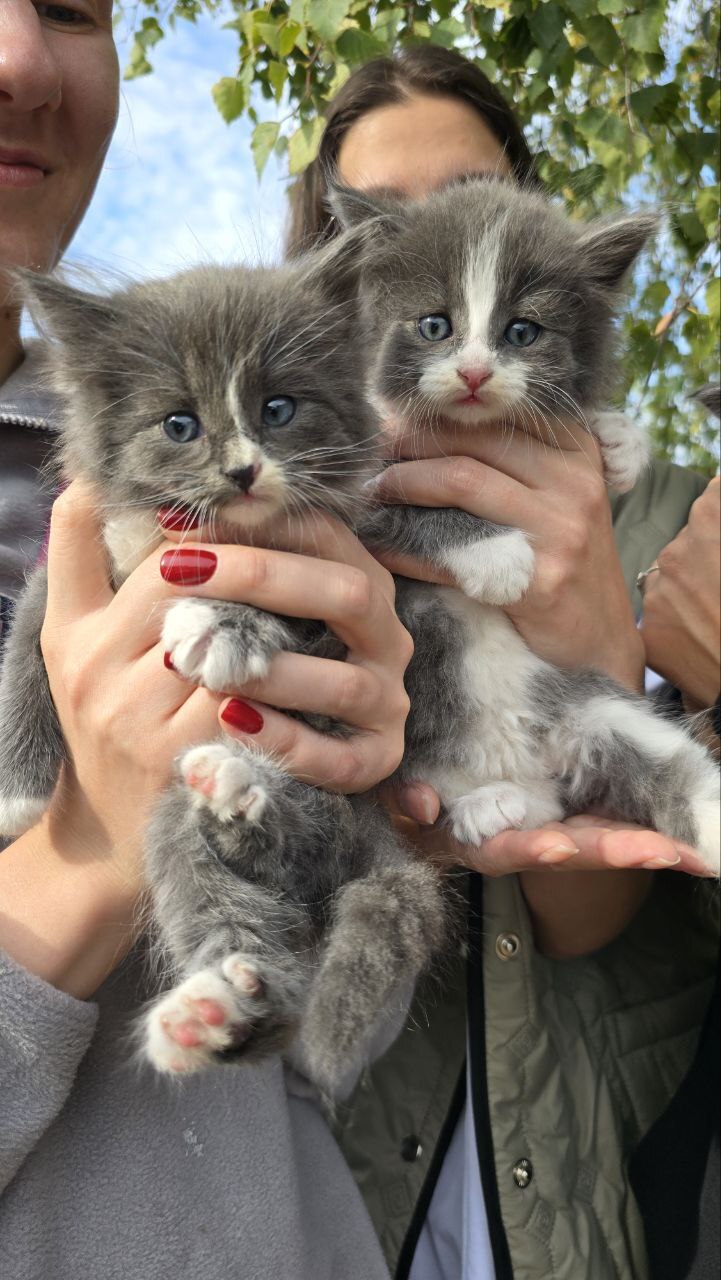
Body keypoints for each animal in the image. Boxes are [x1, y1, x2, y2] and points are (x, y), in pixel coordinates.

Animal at [0, 244, 445, 1095]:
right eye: (179, 424)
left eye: (279, 408)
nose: (242, 471)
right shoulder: (71, 572)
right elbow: (26, 641)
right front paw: (16, 792)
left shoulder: (341, 583)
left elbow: (279, 609)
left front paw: (220, 621)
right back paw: (217, 1011)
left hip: (290, 805)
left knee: (302, 849)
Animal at [335, 177, 721, 870]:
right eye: (435, 325)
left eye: (522, 331)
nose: (474, 372)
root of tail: (528, 764)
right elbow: (413, 508)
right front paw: (499, 558)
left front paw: (621, 444)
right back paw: (486, 805)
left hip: (598, 705)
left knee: (671, 768)